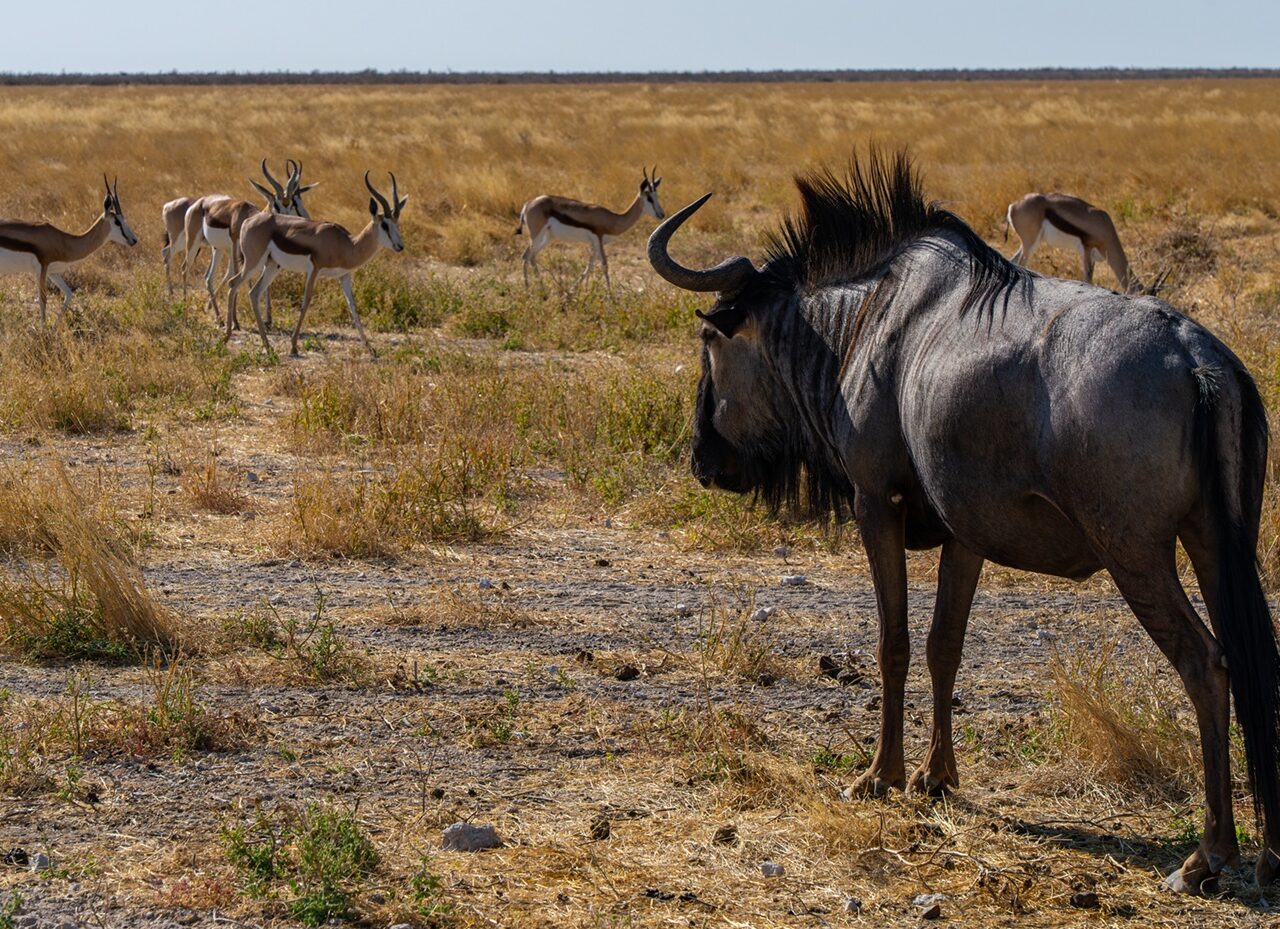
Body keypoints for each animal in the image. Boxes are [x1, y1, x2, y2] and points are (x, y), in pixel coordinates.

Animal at [0, 175, 138, 325]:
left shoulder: (53, 272)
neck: (64, 241)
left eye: (124, 220)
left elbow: (69, 294)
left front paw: (53, 328)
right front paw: (43, 330)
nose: (134, 240)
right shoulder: (42, 268)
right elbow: (42, 300)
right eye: (117, 222)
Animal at [181, 160, 317, 327]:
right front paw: (236, 322)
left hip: (218, 249)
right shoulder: (237, 248)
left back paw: (220, 320)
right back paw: (186, 316)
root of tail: (200, 202)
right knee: (185, 269)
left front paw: (268, 320)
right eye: (276, 204)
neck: (246, 216)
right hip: (193, 244)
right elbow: (235, 278)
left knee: (208, 277)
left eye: (291, 203)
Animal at [226, 171, 406, 358]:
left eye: (397, 223)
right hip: (253, 263)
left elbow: (353, 307)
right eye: (384, 224)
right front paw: (293, 346)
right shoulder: (314, 270)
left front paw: (370, 348)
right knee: (233, 283)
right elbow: (306, 302)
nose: (400, 246)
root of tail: (249, 221)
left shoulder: (344, 276)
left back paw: (267, 346)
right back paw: (227, 336)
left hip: (271, 266)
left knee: (253, 293)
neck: (346, 244)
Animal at [515, 167, 665, 289]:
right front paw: (611, 299)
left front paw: (572, 293)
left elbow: (589, 266)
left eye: (657, 196)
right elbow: (604, 265)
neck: (614, 219)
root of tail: (528, 204)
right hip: (536, 236)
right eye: (649, 198)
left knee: (530, 256)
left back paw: (540, 292)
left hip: (547, 237)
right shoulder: (598, 240)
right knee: (526, 256)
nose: (661, 214)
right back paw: (532, 291)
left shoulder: (594, 244)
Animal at [1005, 192, 1167, 295]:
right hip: (1030, 244)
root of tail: (1013, 205)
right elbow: (1088, 279)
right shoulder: (1087, 249)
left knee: (1013, 261)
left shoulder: (1094, 257)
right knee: (1020, 264)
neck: (1104, 226)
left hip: (1028, 244)